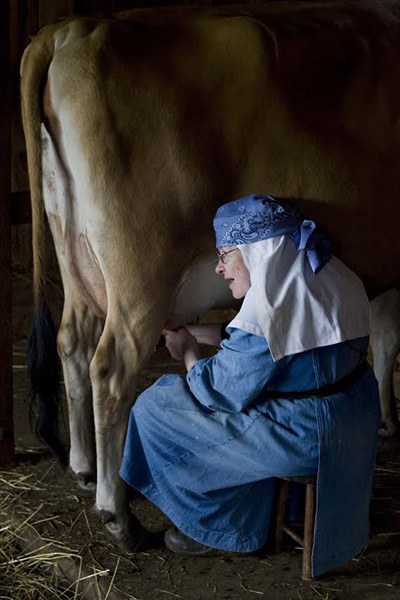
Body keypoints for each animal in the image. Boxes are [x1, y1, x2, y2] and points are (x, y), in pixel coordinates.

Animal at [20, 1, 400, 552]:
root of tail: (75, 28)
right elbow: (389, 340)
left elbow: (385, 341)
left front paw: (388, 418)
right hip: (139, 274)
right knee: (110, 368)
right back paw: (118, 515)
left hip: (76, 255)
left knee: (72, 342)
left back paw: (83, 469)